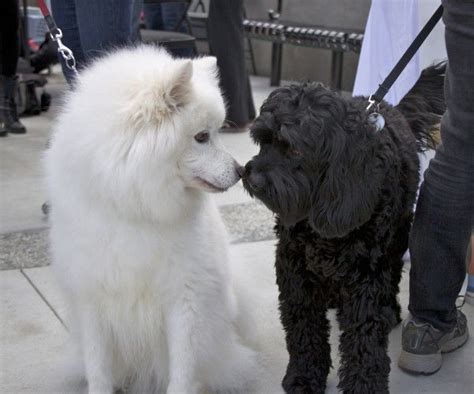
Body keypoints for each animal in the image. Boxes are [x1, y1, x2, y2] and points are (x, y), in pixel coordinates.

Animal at [44, 47, 258, 394]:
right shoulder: (91, 296)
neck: (135, 205)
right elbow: (98, 366)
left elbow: (182, 368)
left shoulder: (184, 296)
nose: (241, 171)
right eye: (202, 137)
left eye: (218, 131)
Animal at [243, 63, 446, 392]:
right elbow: (304, 329)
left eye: (295, 151)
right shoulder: (294, 271)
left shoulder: (365, 278)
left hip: (397, 239)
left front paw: (365, 384)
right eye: (264, 140)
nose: (253, 178)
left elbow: (363, 338)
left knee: (391, 276)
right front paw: (304, 375)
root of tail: (391, 108)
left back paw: (389, 310)